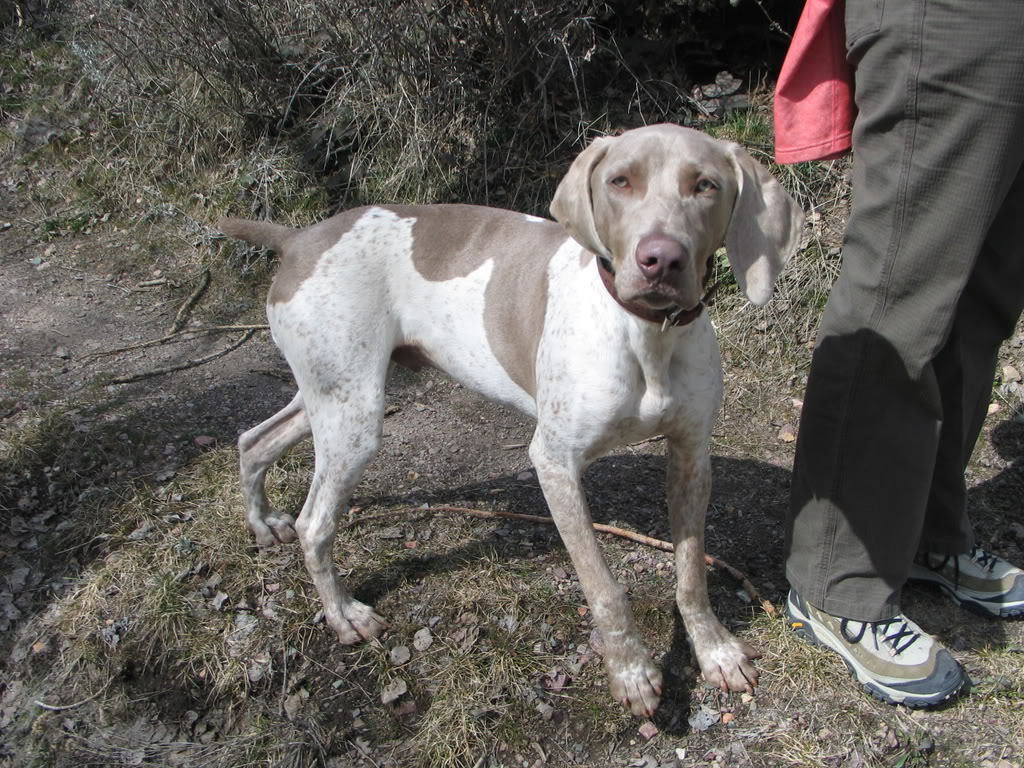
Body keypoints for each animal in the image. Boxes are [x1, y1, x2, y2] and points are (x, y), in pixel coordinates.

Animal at [220, 123, 802, 720]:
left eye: (705, 185)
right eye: (620, 181)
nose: (660, 260)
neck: (646, 334)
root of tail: (299, 238)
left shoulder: (690, 457)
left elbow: (690, 576)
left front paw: (715, 651)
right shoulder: (555, 462)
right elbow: (605, 588)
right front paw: (631, 670)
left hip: (332, 398)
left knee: (252, 440)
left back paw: (263, 524)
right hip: (353, 416)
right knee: (315, 522)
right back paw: (344, 615)